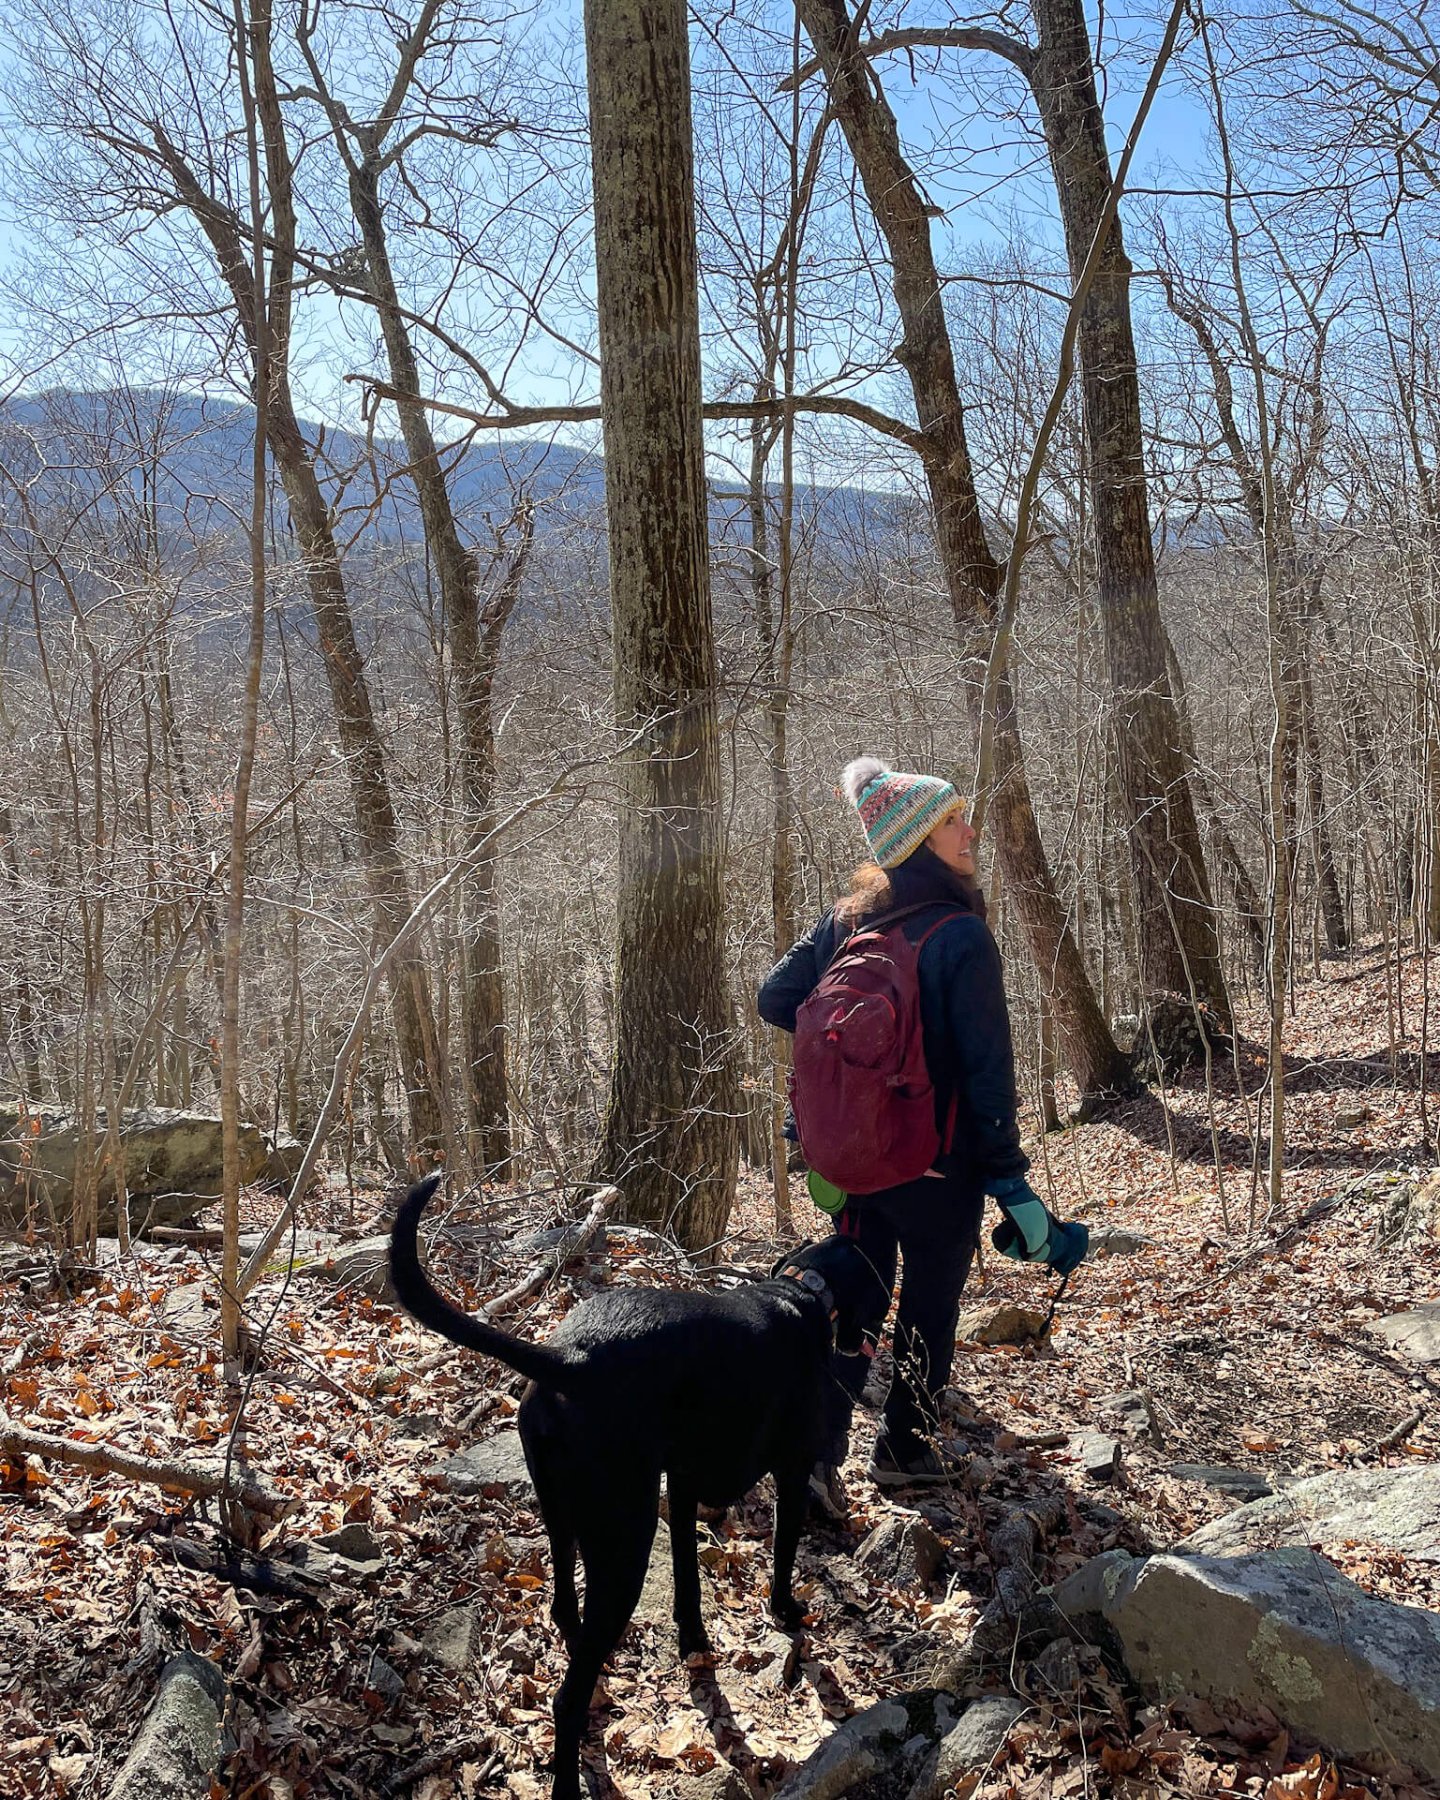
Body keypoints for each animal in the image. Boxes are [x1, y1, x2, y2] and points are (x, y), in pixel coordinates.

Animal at [394, 1173, 889, 1800]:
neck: (803, 1292)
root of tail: (569, 1355)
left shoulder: (680, 1485)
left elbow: (688, 1580)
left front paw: (693, 1640)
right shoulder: (792, 1470)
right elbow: (782, 1555)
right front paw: (786, 1610)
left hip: (565, 1518)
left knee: (566, 1609)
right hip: (624, 1542)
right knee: (565, 1700)